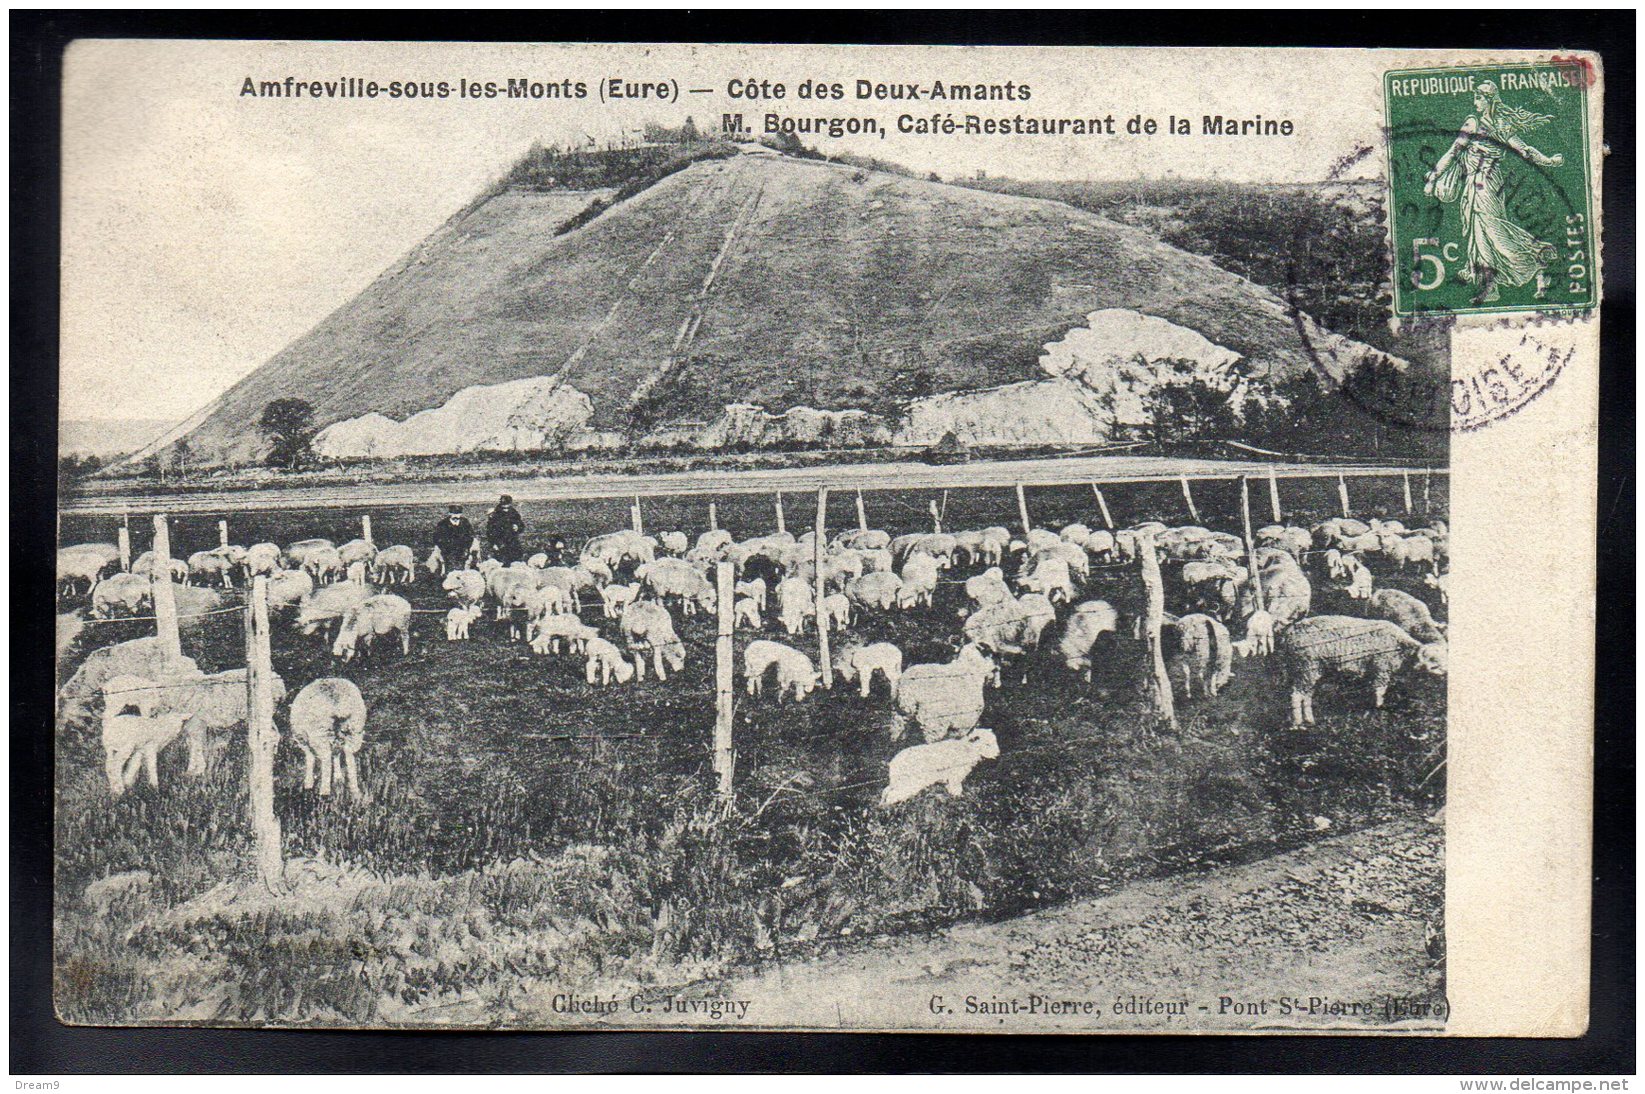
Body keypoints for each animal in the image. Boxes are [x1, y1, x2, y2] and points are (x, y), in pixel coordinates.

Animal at [1276, 615, 1447, 723]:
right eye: (1433, 662)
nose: (1445, 674)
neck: (1400, 648)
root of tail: (1290, 634)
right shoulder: (1381, 668)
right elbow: (1380, 691)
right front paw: (1379, 709)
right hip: (1306, 665)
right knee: (1296, 694)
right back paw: (1298, 723)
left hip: (1306, 669)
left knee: (1306, 694)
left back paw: (1309, 720)